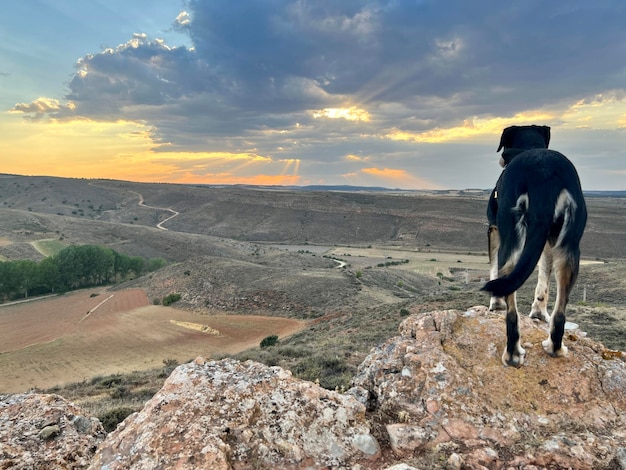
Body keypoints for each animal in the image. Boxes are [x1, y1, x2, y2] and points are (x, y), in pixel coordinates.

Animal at [482, 126, 584, 368]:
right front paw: (538, 313)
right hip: (570, 249)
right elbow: (543, 280)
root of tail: (543, 176)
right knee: (560, 311)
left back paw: (512, 354)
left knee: (511, 304)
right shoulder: (546, 241)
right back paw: (555, 347)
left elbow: (493, 269)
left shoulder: (494, 231)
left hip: (511, 240)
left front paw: (495, 303)